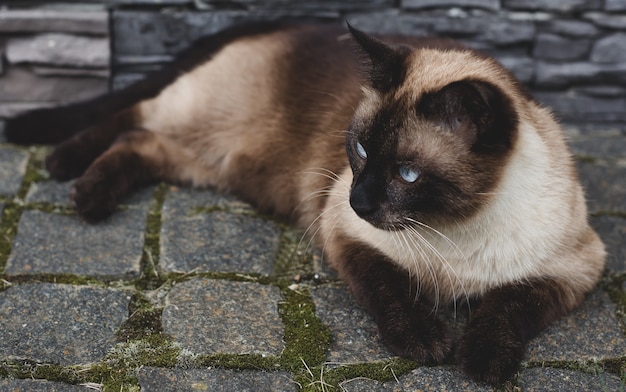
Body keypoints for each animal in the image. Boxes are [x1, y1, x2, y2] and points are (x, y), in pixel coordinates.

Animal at [4, 21, 604, 382]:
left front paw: (482, 360)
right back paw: (69, 176)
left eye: (408, 174)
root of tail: (283, 23)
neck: (452, 231)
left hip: (207, 161)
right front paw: (427, 342)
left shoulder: (574, 269)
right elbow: (391, 290)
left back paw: (87, 192)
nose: (361, 199)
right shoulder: (345, 232)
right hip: (200, 122)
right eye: (359, 149)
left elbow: (507, 304)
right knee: (132, 116)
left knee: (139, 141)